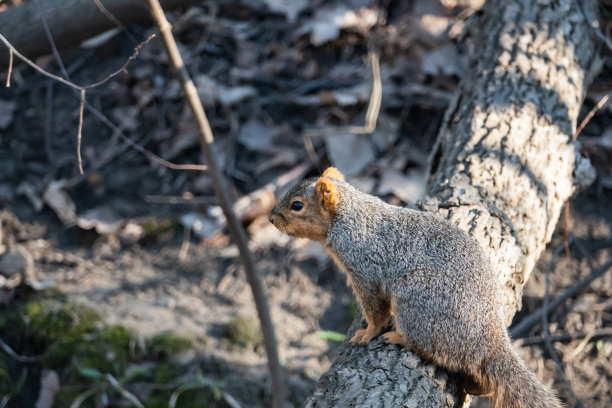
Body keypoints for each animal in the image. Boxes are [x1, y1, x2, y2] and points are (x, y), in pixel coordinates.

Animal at [268, 167, 560, 408]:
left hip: (415, 303)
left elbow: (375, 309)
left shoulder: (365, 269)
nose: (271, 218)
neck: (349, 216)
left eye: (297, 205)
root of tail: (489, 338)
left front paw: (366, 333)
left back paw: (397, 337)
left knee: (433, 349)